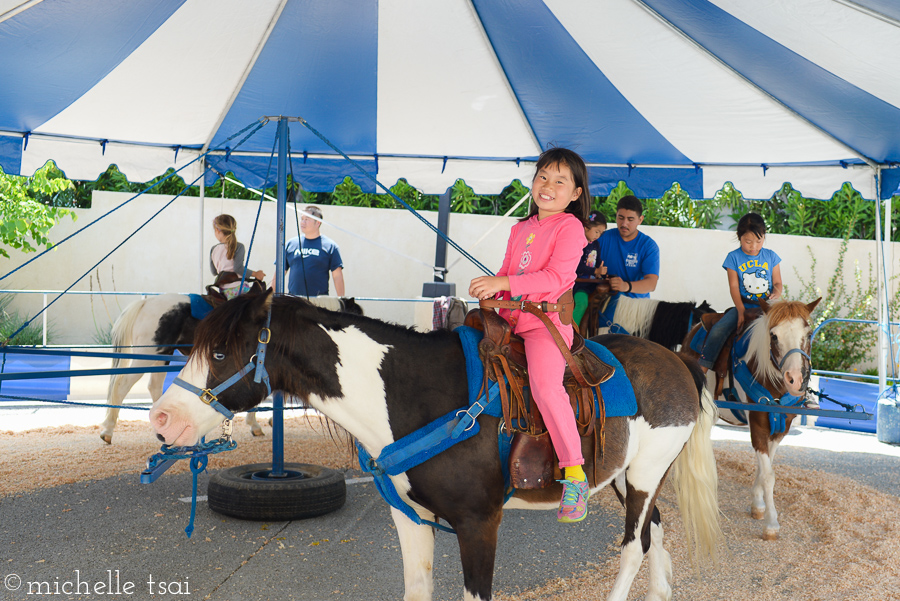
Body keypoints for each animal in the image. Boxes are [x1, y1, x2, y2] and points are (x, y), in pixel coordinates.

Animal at [99, 292, 362, 442]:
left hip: (160, 356)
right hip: (148, 354)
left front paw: (259, 424)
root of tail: (146, 302)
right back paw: (108, 431)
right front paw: (259, 424)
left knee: (154, 385)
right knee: (121, 385)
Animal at [151, 292, 720, 600]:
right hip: (629, 477)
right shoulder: (410, 517)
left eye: (219, 353)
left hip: (643, 476)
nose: (161, 417)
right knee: (655, 531)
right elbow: (416, 587)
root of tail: (678, 361)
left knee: (633, 546)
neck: (416, 396)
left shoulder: (479, 523)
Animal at [684, 298, 824, 540]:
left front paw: (758, 505)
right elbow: (768, 475)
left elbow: (764, 469)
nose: (795, 379)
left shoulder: (781, 428)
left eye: (808, 333)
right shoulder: (758, 424)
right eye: (774, 336)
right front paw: (771, 524)